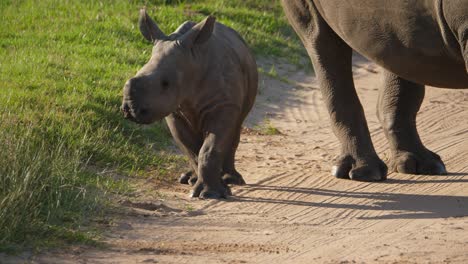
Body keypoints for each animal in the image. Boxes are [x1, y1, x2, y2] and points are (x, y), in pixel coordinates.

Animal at [122, 9, 258, 198]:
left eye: (165, 83)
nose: (129, 109)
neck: (194, 62)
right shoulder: (174, 110)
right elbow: (189, 147)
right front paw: (199, 185)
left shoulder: (224, 105)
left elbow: (211, 147)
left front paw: (211, 194)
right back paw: (188, 178)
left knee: (236, 127)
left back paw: (232, 179)